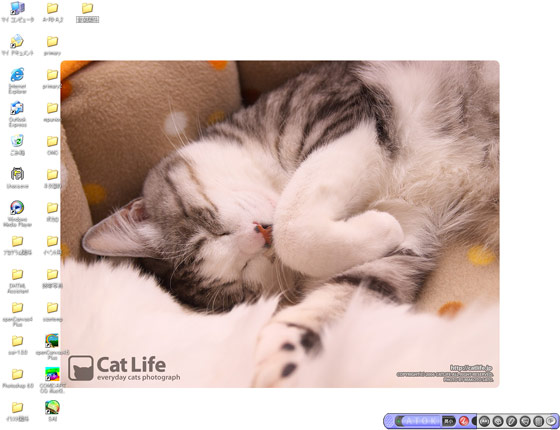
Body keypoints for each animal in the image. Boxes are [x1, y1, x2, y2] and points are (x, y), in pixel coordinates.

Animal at [82, 61, 499, 387]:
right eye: (244, 276)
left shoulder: (346, 114)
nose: (260, 237)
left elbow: (294, 225)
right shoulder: (410, 230)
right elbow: (354, 288)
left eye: (209, 226)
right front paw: (284, 349)